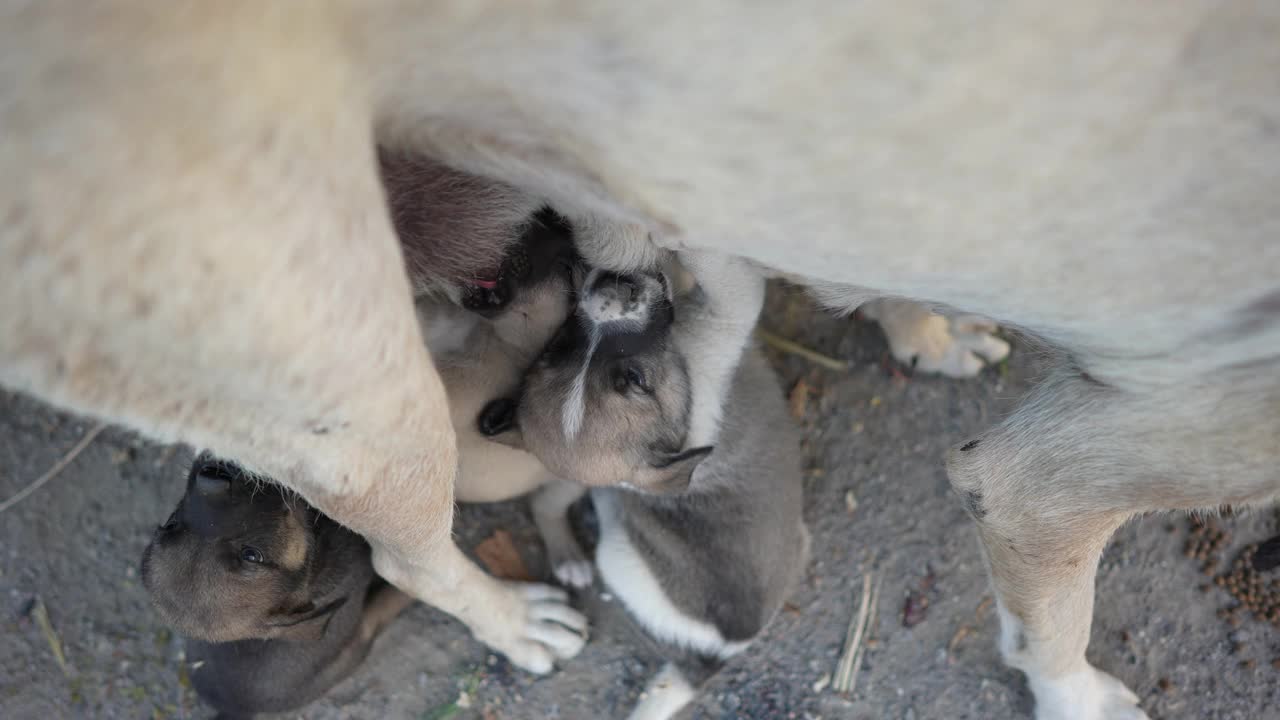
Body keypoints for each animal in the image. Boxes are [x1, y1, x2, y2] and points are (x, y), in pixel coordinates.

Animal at [483, 266, 803, 712]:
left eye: (558, 345)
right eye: (635, 379)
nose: (607, 285)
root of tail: (719, 655)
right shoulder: (721, 332)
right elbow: (736, 289)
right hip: (617, 554)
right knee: (553, 503)